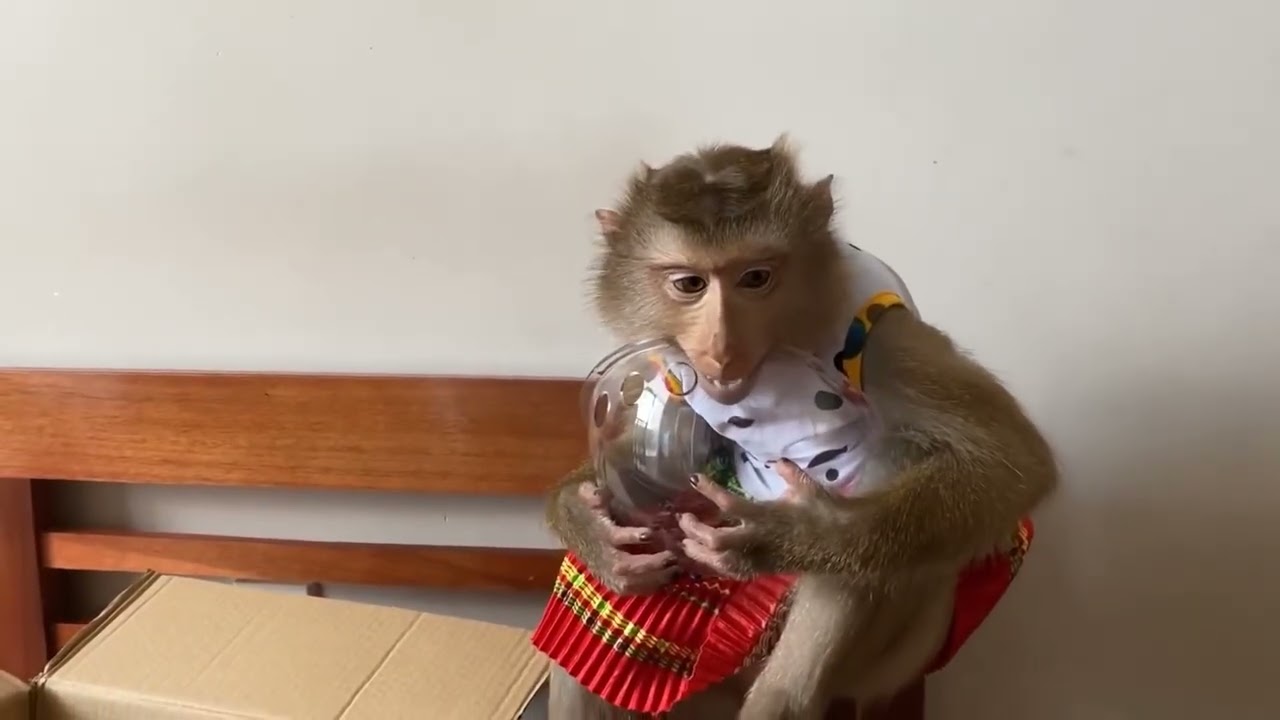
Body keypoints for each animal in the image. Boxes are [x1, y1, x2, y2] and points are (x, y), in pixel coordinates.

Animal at [543, 136, 1058, 719]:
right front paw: (584, 520)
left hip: (900, 655)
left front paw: (790, 533)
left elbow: (1012, 463)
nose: (722, 345)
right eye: (690, 284)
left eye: (756, 278)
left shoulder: (880, 337)